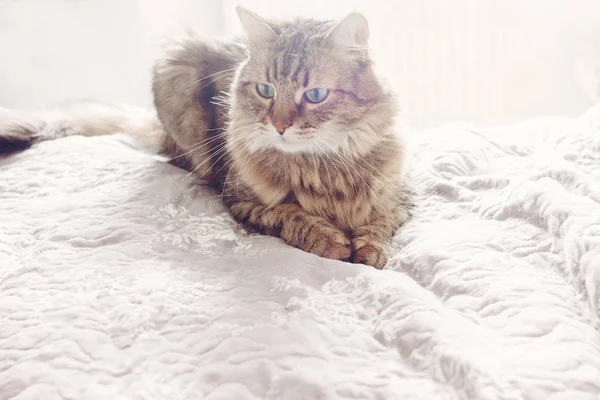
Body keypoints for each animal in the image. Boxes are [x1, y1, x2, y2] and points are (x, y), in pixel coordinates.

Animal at [0, 6, 412, 268]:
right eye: (265, 90)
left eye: (314, 95)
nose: (278, 126)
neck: (323, 166)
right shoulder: (244, 201)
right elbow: (293, 216)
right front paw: (331, 242)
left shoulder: (399, 196)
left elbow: (379, 226)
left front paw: (369, 253)